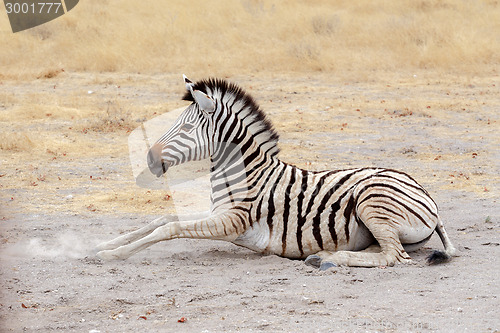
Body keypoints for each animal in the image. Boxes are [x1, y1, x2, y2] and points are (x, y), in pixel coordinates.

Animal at [95, 75, 456, 268]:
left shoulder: (232, 221)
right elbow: (161, 220)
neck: (245, 174)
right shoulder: (217, 212)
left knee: (393, 257)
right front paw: (103, 244)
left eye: (184, 129)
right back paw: (325, 254)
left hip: (372, 201)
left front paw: (114, 253)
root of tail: (428, 198)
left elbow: (168, 228)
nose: (149, 159)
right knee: (382, 250)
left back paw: (330, 259)